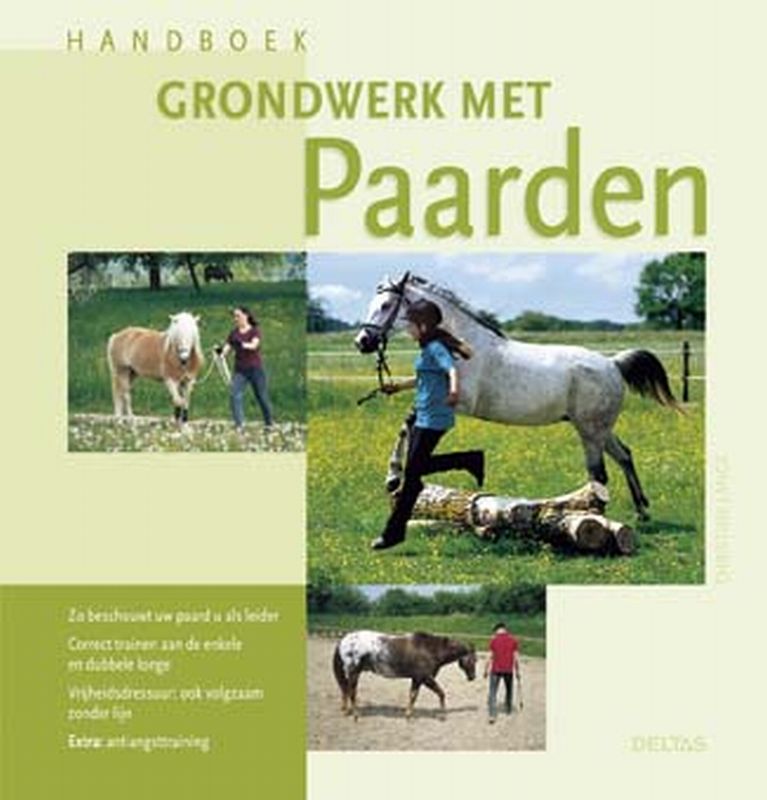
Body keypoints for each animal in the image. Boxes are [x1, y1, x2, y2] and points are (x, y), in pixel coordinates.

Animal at [333, 630, 476, 720]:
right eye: (474, 660)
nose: (472, 677)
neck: (430, 650)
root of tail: (344, 640)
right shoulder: (425, 678)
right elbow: (441, 693)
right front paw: (442, 716)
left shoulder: (417, 679)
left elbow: (413, 696)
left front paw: (408, 715)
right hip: (354, 673)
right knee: (351, 692)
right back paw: (356, 715)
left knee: (346, 690)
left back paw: (347, 711)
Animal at [354, 273, 680, 518]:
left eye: (386, 305)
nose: (362, 342)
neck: (460, 345)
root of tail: (613, 364)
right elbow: (407, 424)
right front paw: (395, 477)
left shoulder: (458, 402)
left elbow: (411, 422)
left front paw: (394, 477)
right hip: (599, 428)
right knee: (624, 455)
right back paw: (641, 510)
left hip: (590, 431)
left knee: (598, 474)